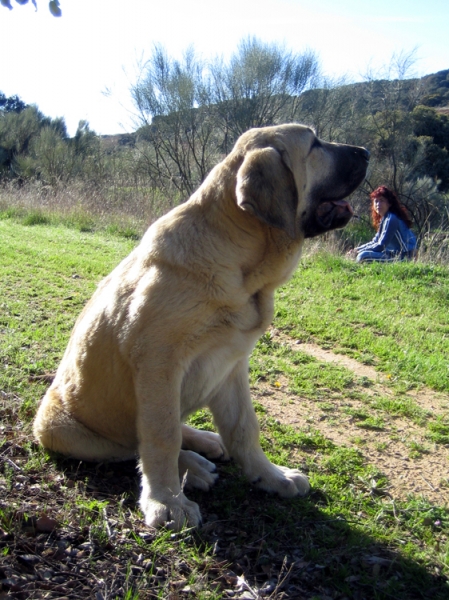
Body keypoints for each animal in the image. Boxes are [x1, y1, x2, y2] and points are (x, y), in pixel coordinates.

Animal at [33, 123, 366, 528]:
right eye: (315, 144)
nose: (367, 152)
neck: (243, 269)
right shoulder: (159, 364)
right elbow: (161, 436)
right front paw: (166, 501)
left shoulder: (232, 363)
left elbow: (244, 428)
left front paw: (270, 476)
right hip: (60, 428)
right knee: (130, 446)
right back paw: (193, 467)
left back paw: (205, 443)